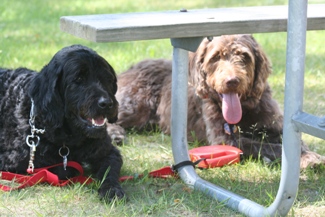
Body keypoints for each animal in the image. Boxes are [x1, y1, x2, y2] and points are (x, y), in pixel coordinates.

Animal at [0, 45, 124, 201]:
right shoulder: (16, 161)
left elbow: (109, 170)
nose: (107, 103)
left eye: (106, 78)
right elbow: (60, 169)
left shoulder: (108, 152)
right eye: (78, 79)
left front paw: (112, 189)